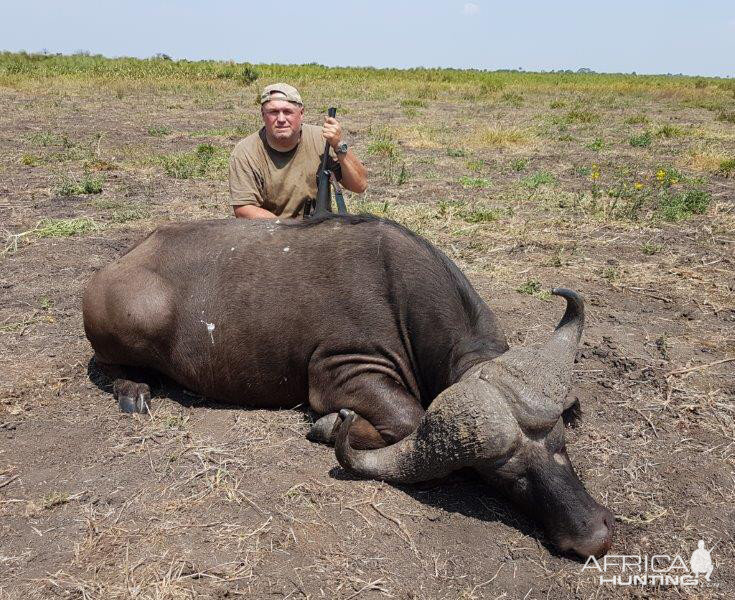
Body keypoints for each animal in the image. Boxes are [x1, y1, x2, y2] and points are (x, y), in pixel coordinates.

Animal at [82, 214, 616, 556]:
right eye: (505, 475)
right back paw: (134, 391)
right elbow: (409, 418)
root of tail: (111, 270)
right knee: (106, 364)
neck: (402, 295)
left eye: (561, 446)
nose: (594, 534)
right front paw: (327, 428)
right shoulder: (342, 372)